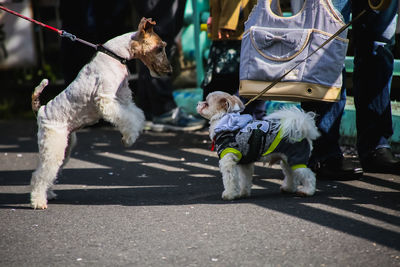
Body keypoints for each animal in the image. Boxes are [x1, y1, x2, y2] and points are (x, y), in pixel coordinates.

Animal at [28, 17, 172, 210]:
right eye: (159, 48)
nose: (169, 71)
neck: (116, 55)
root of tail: (41, 110)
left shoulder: (124, 99)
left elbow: (136, 115)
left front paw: (131, 136)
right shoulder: (106, 100)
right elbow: (127, 118)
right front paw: (129, 138)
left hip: (65, 148)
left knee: (50, 173)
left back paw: (48, 194)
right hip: (53, 145)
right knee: (39, 174)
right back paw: (38, 201)